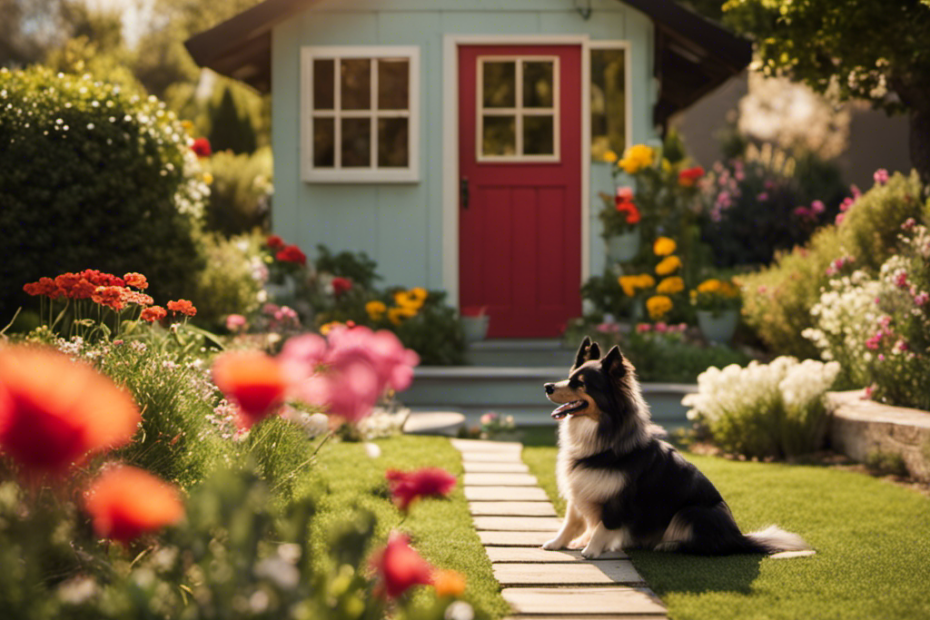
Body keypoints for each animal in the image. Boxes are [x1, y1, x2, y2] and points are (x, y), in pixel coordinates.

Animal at [540, 336, 808, 560]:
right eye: (569, 378)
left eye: (580, 384)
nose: (547, 386)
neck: (603, 435)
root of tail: (738, 538)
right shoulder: (580, 488)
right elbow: (570, 522)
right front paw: (557, 543)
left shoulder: (616, 500)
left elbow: (603, 526)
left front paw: (591, 550)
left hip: (692, 512)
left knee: (704, 546)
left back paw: (667, 544)